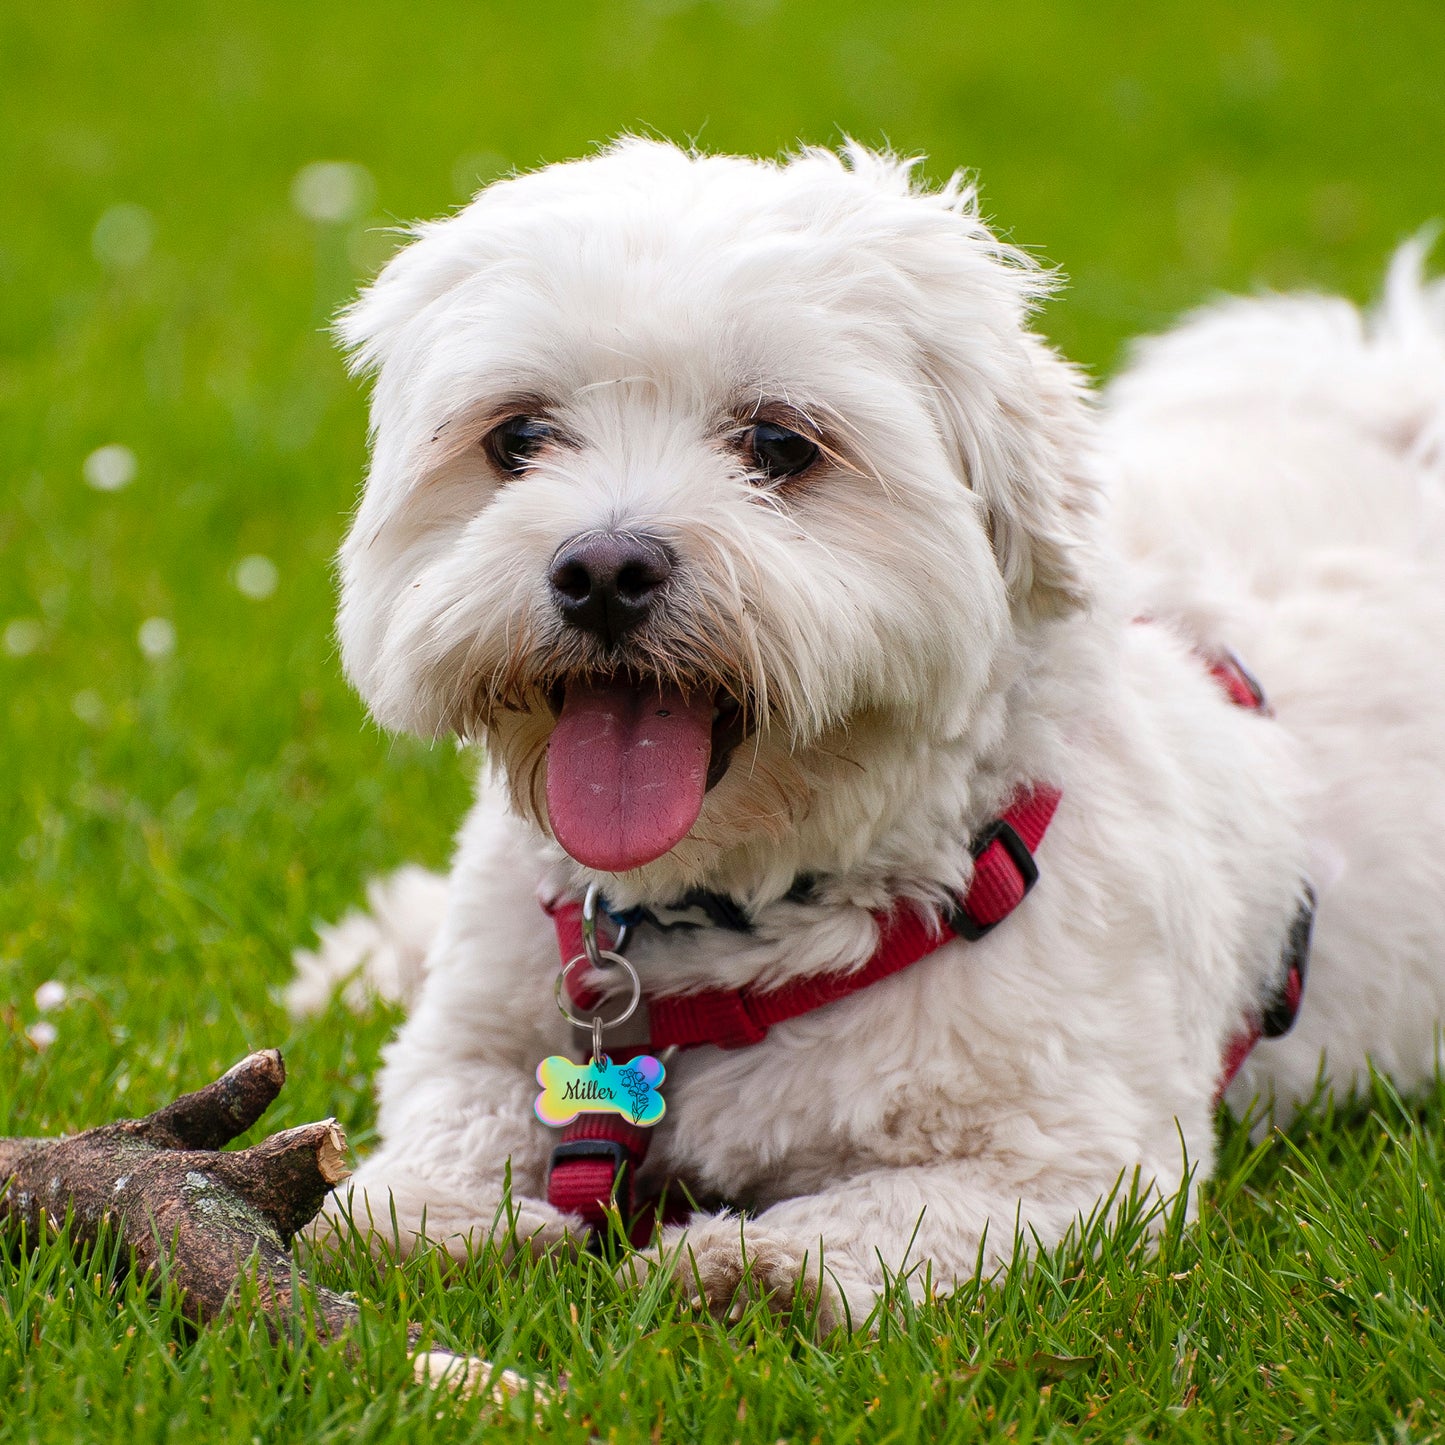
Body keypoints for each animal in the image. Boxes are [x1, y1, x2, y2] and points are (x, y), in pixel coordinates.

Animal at [290, 140, 1445, 1323]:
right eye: (517, 436)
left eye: (777, 443)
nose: (602, 569)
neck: (721, 932)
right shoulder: (484, 1036)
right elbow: (451, 1115)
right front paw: (414, 1210)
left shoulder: (1071, 1160)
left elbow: (890, 1216)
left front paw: (754, 1264)